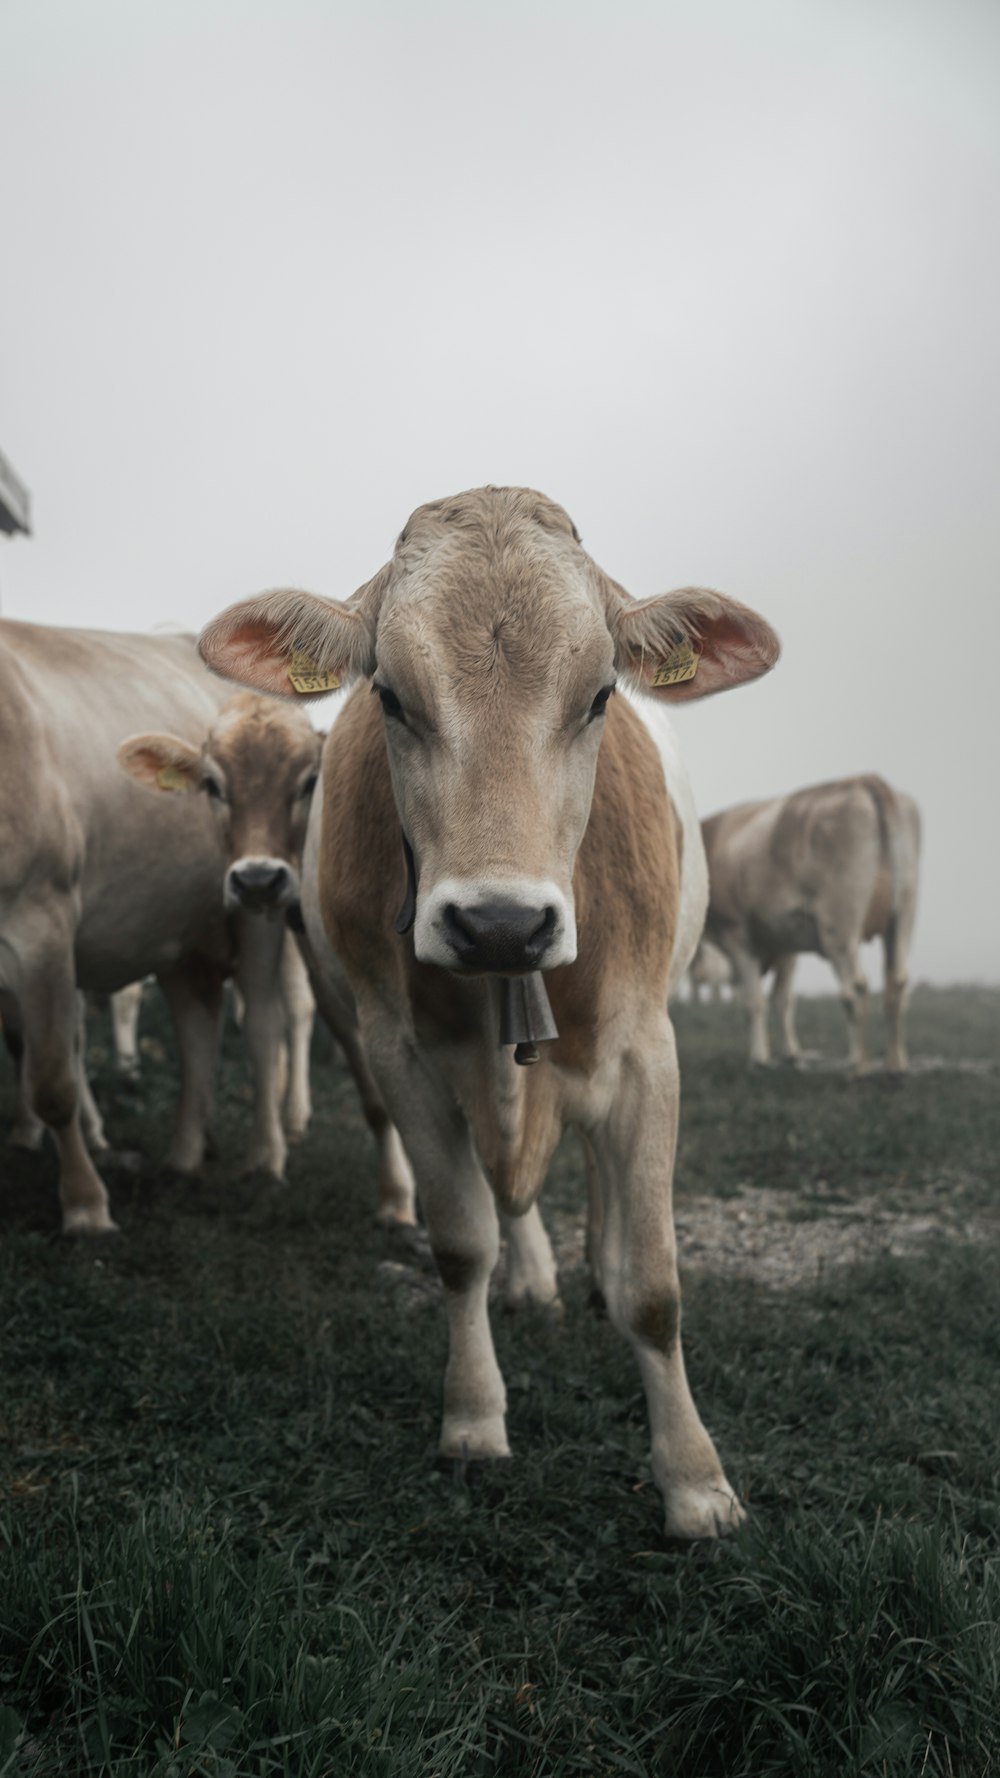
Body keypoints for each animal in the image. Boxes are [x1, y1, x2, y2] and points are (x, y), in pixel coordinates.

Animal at [701, 778, 918, 1066]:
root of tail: (863, 781)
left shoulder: (737, 937)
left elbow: (754, 1002)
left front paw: (759, 1057)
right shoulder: (785, 945)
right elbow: (782, 1000)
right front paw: (791, 1053)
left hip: (839, 927)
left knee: (854, 990)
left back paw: (857, 1063)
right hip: (902, 917)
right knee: (896, 985)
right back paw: (896, 1064)